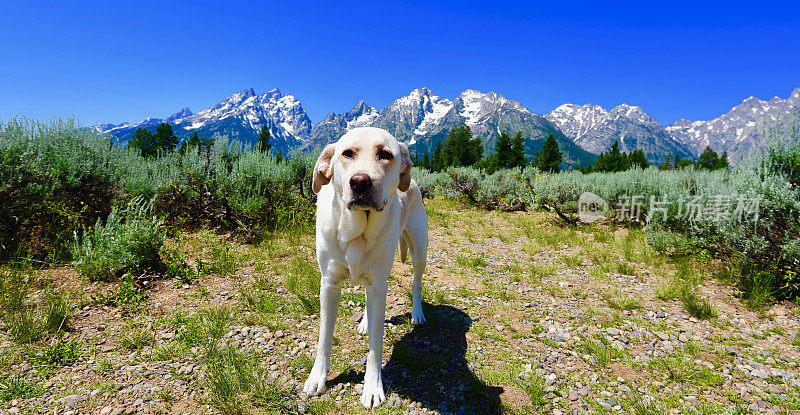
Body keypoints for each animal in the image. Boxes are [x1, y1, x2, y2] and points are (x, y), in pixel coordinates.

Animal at [304, 127, 428, 410]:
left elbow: (375, 346)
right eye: (347, 153)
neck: (356, 231)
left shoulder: (379, 284)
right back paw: (365, 322)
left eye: (385, 154)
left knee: (416, 282)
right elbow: (324, 337)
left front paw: (372, 387)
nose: (360, 182)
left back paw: (416, 313)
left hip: (419, 251)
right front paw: (317, 377)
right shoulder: (329, 284)